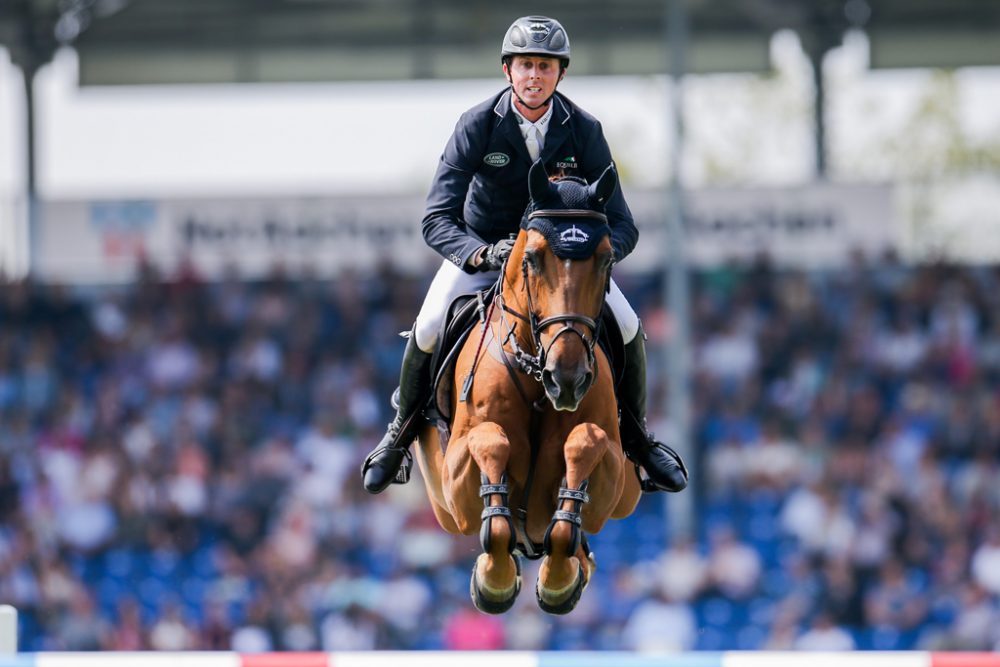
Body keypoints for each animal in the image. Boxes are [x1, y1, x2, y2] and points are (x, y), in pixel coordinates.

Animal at [414, 163, 640, 616]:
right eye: (532, 258)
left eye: (607, 259)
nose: (567, 378)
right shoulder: (455, 489)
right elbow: (491, 442)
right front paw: (494, 580)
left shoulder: (611, 477)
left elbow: (585, 442)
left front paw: (559, 581)